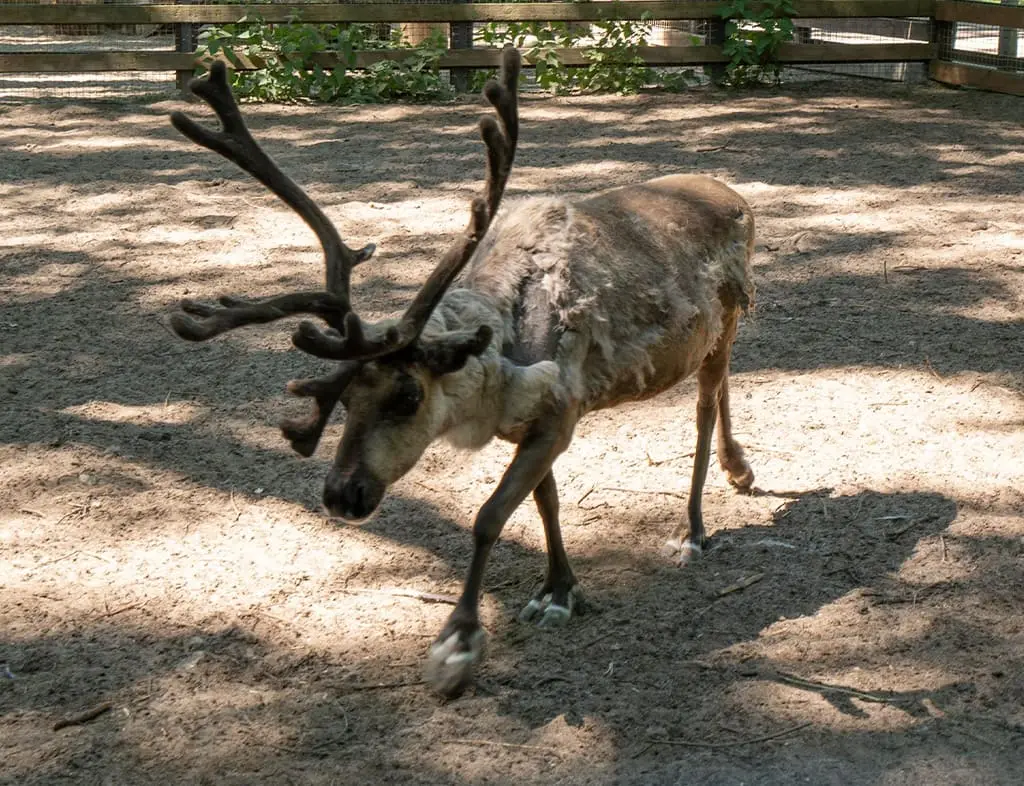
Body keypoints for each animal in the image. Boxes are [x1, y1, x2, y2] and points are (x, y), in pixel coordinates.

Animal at [165, 49, 756, 698]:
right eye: (343, 400)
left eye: (407, 395)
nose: (341, 495)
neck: (502, 339)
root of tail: (736, 194)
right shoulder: (531, 423)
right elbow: (545, 502)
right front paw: (559, 589)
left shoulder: (560, 414)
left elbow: (489, 517)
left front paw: (459, 642)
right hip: (711, 338)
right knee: (724, 385)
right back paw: (739, 469)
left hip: (725, 320)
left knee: (704, 408)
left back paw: (693, 528)